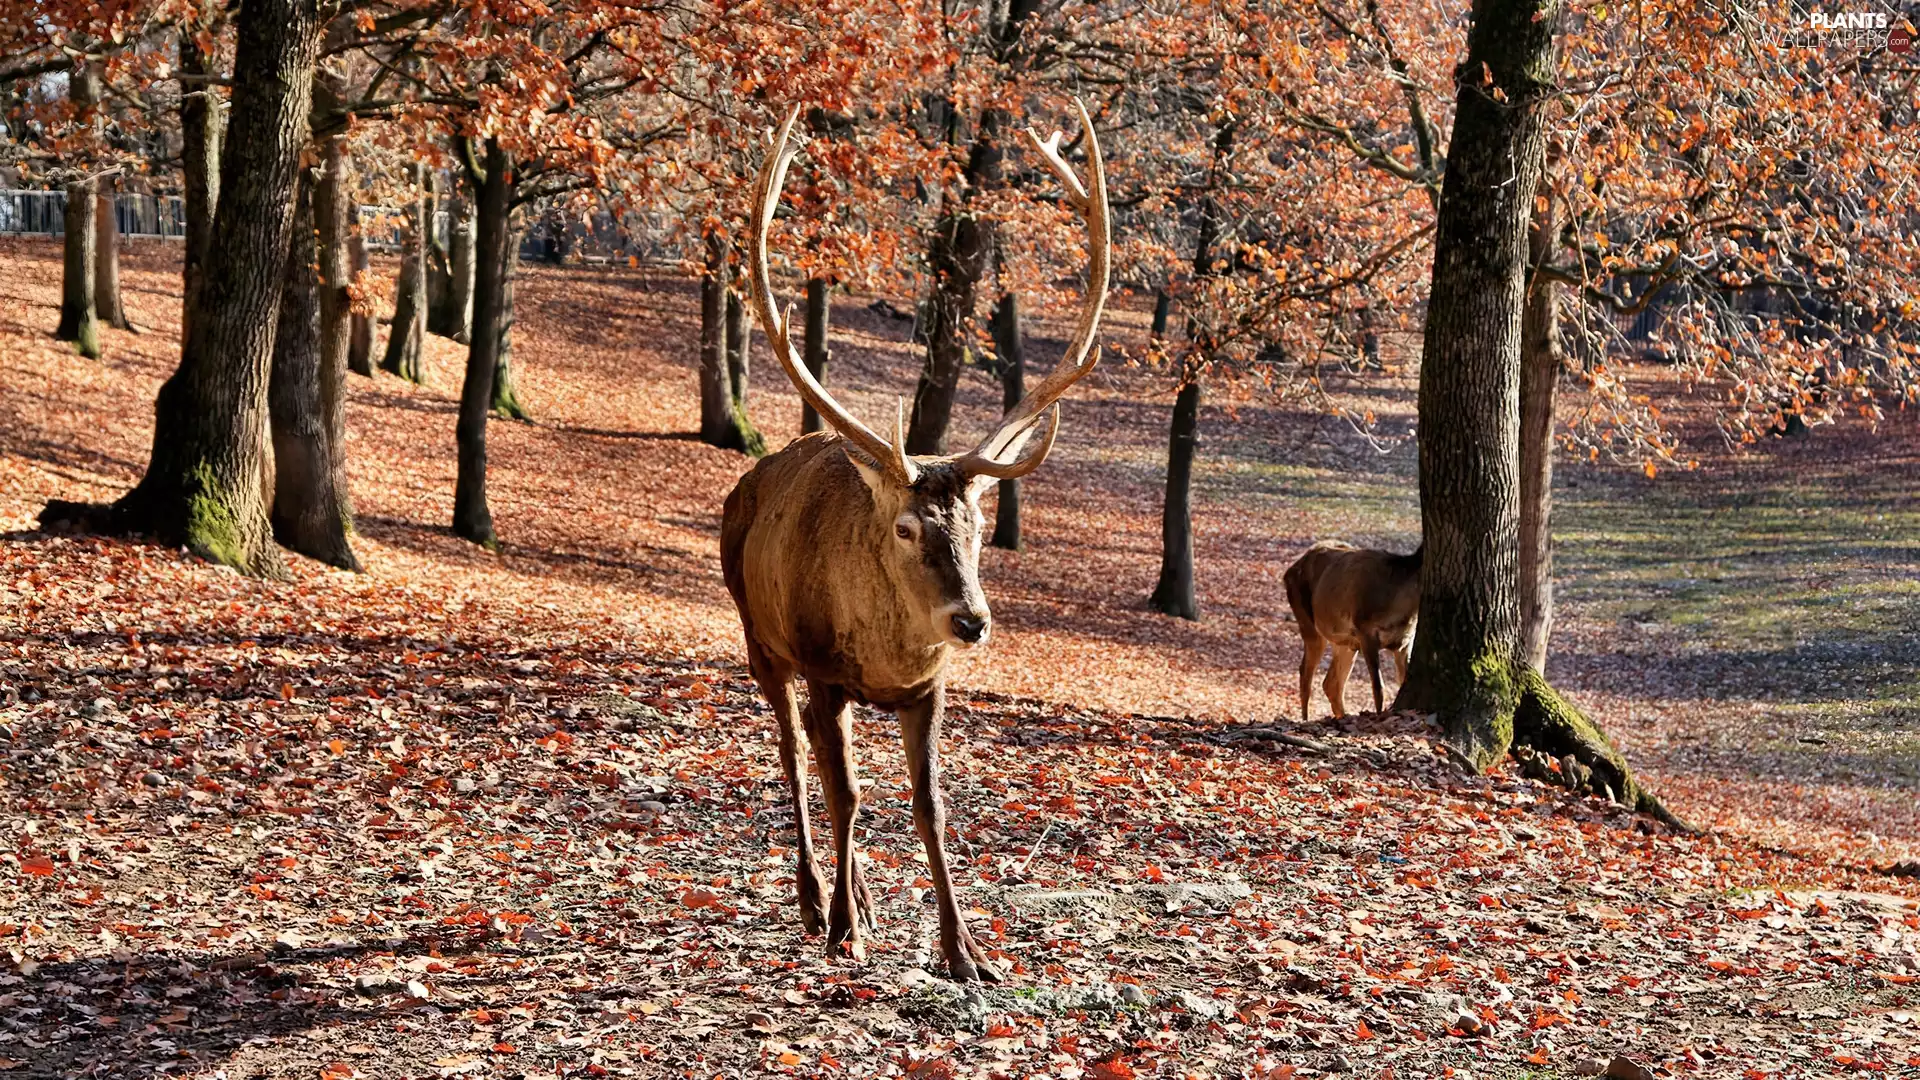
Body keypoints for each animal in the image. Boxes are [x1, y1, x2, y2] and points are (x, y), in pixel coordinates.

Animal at [719, 101, 1109, 982]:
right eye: (903, 528)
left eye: (976, 526)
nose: (971, 621)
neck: (885, 657)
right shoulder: (823, 668)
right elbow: (847, 793)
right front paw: (844, 932)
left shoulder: (928, 688)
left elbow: (929, 803)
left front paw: (965, 950)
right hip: (760, 638)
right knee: (793, 756)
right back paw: (817, 902)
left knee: (821, 760)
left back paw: (857, 898)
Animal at [1284, 540, 1422, 722]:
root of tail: (1288, 572)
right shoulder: (1366, 631)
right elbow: (1379, 688)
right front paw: (1379, 716)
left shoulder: (1405, 642)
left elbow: (1402, 680)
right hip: (1308, 623)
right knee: (1306, 673)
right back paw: (1305, 720)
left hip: (1345, 642)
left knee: (1331, 683)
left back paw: (1342, 716)